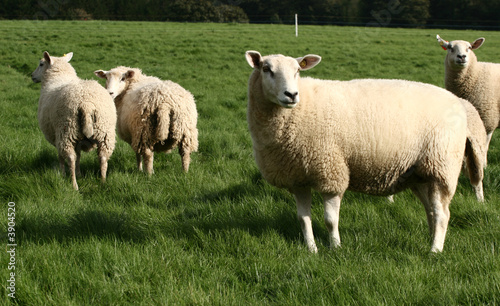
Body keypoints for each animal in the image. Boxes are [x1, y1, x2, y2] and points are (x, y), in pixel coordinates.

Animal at [31, 51, 116, 190]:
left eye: (41, 64)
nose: (32, 76)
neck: (58, 77)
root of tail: (86, 104)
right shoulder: (78, 140)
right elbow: (79, 156)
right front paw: (79, 173)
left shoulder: (57, 136)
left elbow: (61, 157)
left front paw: (62, 174)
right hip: (105, 132)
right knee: (103, 158)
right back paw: (103, 182)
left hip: (66, 131)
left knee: (70, 158)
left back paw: (74, 185)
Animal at [246, 50, 468, 253]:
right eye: (266, 69)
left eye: (297, 71)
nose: (291, 95)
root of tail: (458, 102)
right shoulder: (298, 179)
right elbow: (303, 219)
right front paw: (311, 249)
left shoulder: (331, 172)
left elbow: (330, 220)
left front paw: (335, 247)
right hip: (421, 174)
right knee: (431, 211)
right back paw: (432, 240)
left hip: (442, 166)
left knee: (442, 215)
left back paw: (435, 250)